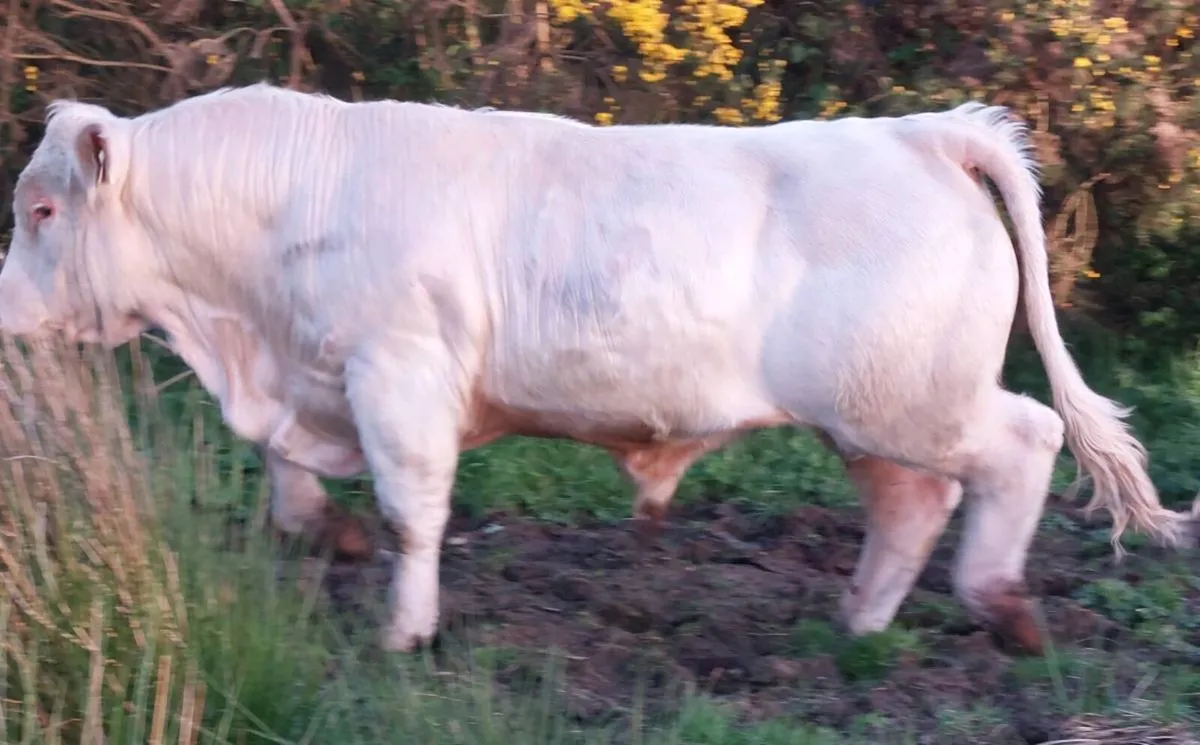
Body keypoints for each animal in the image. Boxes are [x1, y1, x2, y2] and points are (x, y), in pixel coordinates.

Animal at [1, 83, 1194, 656]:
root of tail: (923, 130)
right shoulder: (319, 382)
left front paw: (404, 629)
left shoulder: (400, 376)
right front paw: (322, 530)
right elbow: (293, 485)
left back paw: (1000, 604)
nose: (6, 312)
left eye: (43, 211)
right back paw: (852, 627)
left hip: (912, 399)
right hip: (871, 416)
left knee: (1023, 444)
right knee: (914, 505)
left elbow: (413, 513)